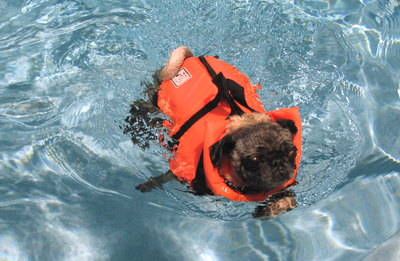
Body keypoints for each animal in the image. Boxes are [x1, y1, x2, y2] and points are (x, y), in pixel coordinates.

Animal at [123, 46, 302, 217]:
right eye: (253, 161)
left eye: (292, 152)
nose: (278, 162)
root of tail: (190, 58)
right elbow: (160, 180)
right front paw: (146, 185)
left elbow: (287, 199)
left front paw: (274, 207)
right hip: (156, 99)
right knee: (142, 106)